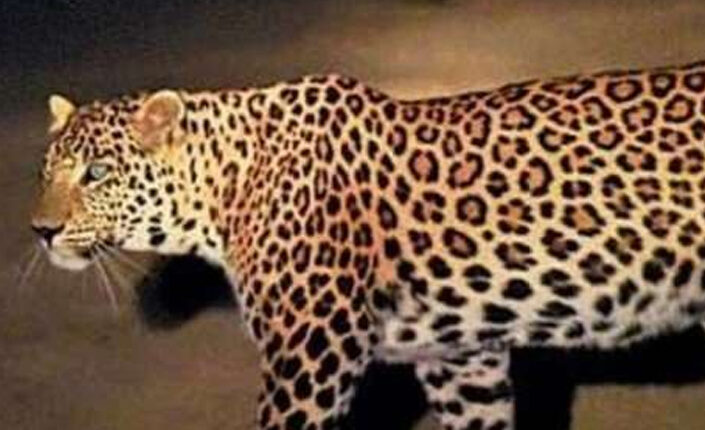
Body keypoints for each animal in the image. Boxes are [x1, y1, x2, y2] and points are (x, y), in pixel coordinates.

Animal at [30, 59, 705, 430]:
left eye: (97, 173)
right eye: (46, 171)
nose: (41, 230)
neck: (224, 189)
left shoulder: (311, 352)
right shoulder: (459, 359)